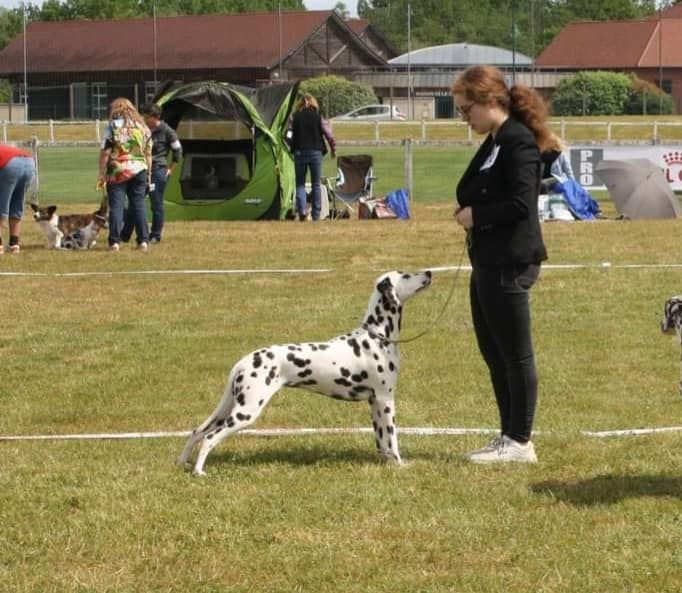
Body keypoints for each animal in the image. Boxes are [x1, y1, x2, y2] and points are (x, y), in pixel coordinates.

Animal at [177, 270, 430, 474]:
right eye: (406, 274)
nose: (428, 273)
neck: (378, 336)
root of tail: (243, 362)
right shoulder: (386, 399)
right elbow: (393, 438)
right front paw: (400, 464)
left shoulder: (375, 401)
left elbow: (381, 441)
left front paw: (386, 461)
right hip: (245, 412)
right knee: (209, 437)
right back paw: (199, 471)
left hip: (229, 408)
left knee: (197, 431)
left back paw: (183, 463)